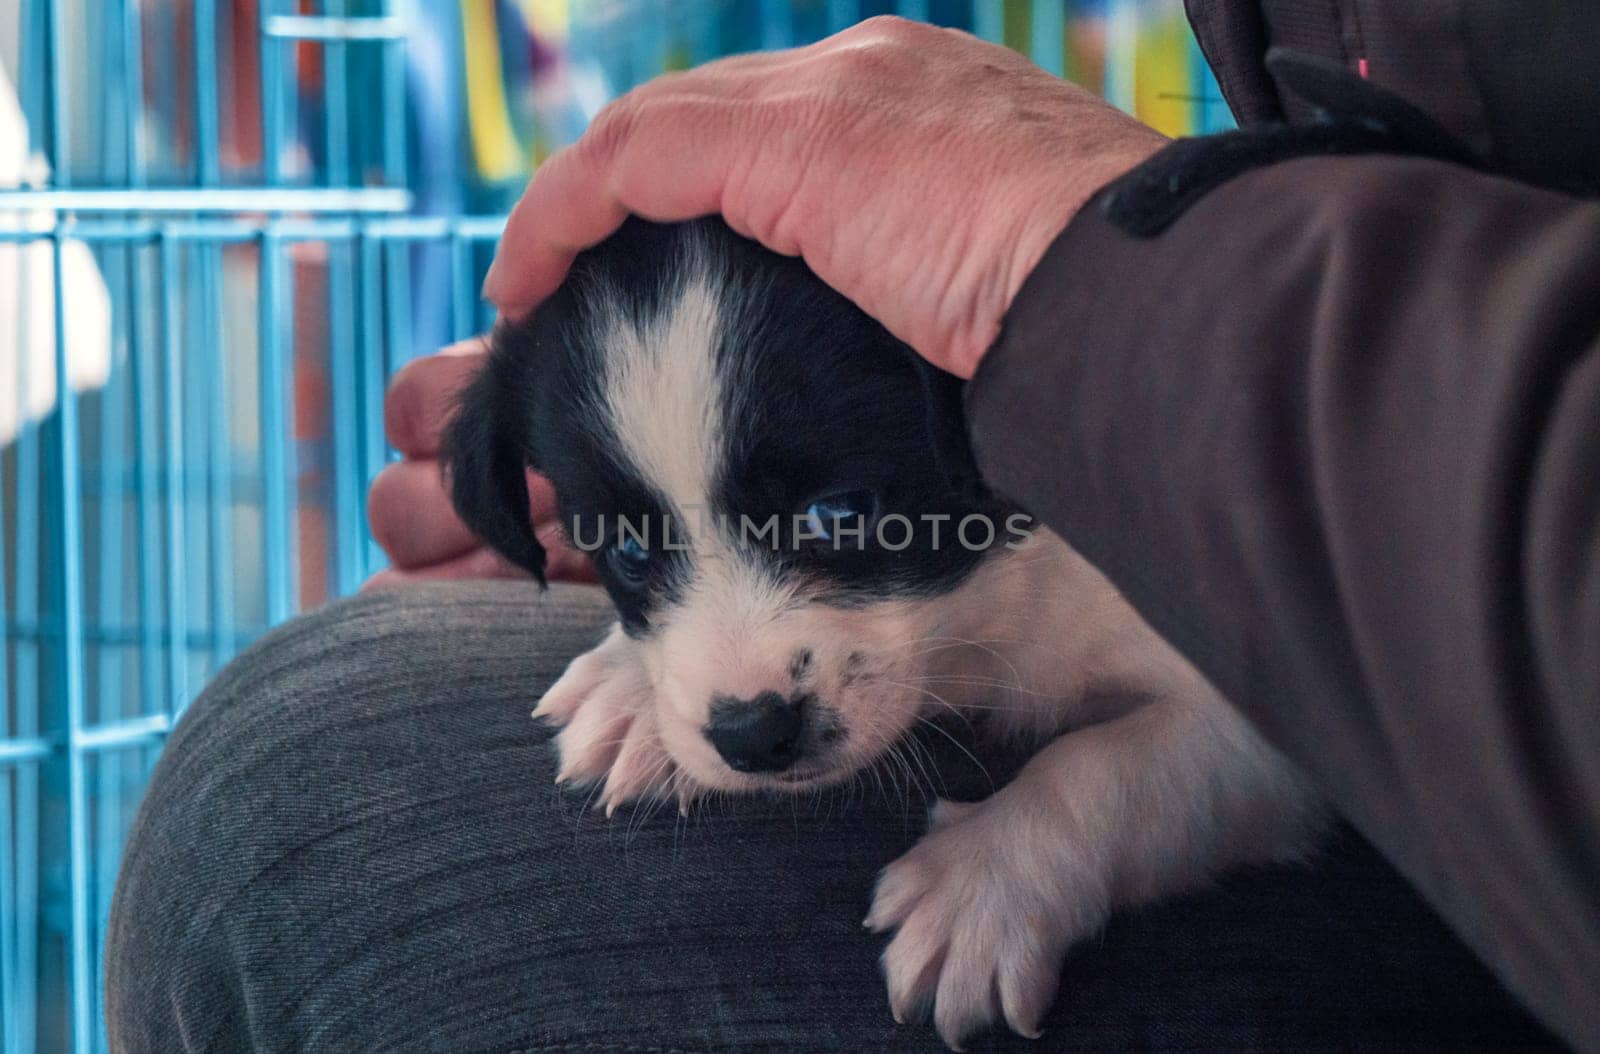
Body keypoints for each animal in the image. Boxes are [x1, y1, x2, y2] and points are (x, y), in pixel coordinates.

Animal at [441, 219, 1324, 1049]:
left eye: (840, 512)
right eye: (625, 551)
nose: (752, 735)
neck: (983, 615)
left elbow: (1104, 764)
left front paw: (983, 886)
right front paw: (632, 697)